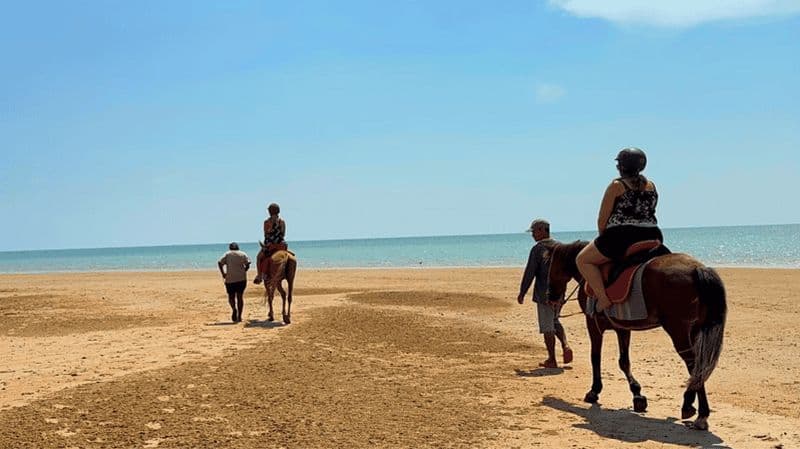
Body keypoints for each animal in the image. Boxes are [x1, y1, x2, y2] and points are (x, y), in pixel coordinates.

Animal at [546, 240, 727, 430]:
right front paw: (637, 395)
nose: (550, 296)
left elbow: (595, 358)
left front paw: (594, 391)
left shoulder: (593, 325)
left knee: (694, 364)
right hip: (694, 330)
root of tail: (696, 268)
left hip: (678, 332)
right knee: (700, 365)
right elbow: (624, 361)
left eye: (552, 269)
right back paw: (697, 409)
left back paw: (696, 410)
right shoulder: (622, 328)